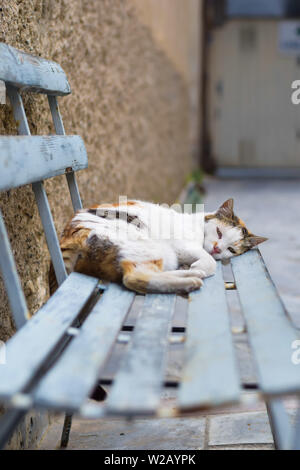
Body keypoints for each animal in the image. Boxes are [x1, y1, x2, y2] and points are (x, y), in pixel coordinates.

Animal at [49, 197, 268, 294]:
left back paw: (191, 274)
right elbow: (209, 261)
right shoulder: (183, 246)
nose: (216, 248)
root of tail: (71, 234)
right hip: (153, 248)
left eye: (231, 249)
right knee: (134, 278)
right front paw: (203, 265)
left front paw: (199, 265)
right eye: (219, 232)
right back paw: (192, 279)